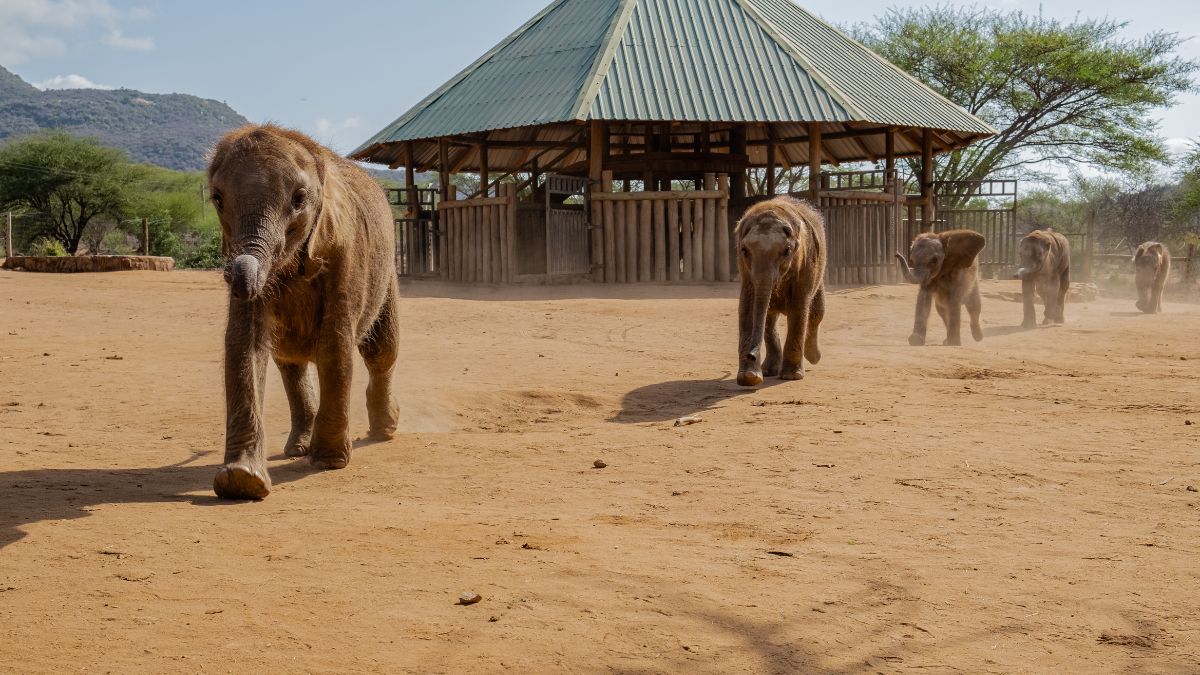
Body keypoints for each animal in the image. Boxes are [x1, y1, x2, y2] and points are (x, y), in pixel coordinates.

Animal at [206, 125, 401, 500]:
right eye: (217, 199)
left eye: (298, 199)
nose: (232, 277)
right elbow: (243, 345)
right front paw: (242, 481)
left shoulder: (346, 252)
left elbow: (336, 341)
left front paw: (328, 462)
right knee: (289, 361)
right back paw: (297, 448)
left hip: (387, 279)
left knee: (381, 351)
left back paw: (385, 430)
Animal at [735, 196, 827, 387]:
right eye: (744, 250)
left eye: (786, 251)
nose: (751, 355)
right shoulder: (745, 270)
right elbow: (747, 307)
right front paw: (749, 377)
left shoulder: (806, 262)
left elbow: (800, 307)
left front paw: (792, 376)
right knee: (769, 317)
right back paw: (769, 371)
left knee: (816, 313)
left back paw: (813, 356)